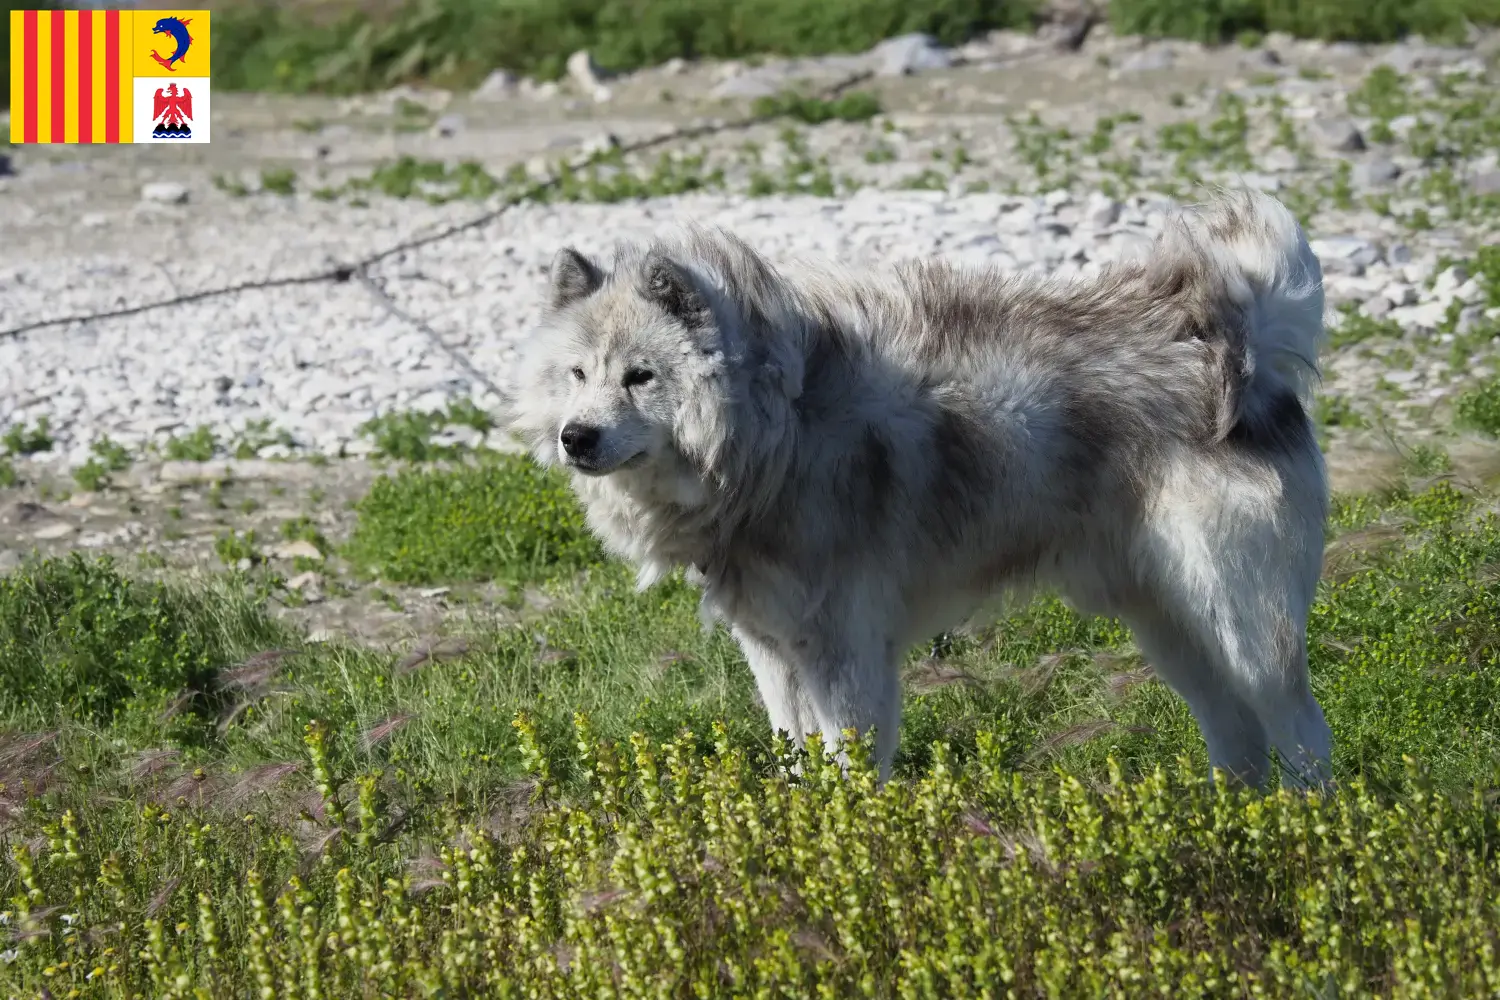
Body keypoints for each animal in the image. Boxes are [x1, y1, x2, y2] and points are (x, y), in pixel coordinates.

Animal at [507, 189, 1338, 791]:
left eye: (640, 376)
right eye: (577, 375)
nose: (575, 437)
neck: (776, 431)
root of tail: (1244, 349)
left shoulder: (845, 657)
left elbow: (849, 773)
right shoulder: (775, 657)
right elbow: (797, 764)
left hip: (1240, 624)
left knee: (1302, 734)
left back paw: (1310, 835)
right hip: (1167, 622)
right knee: (1237, 735)